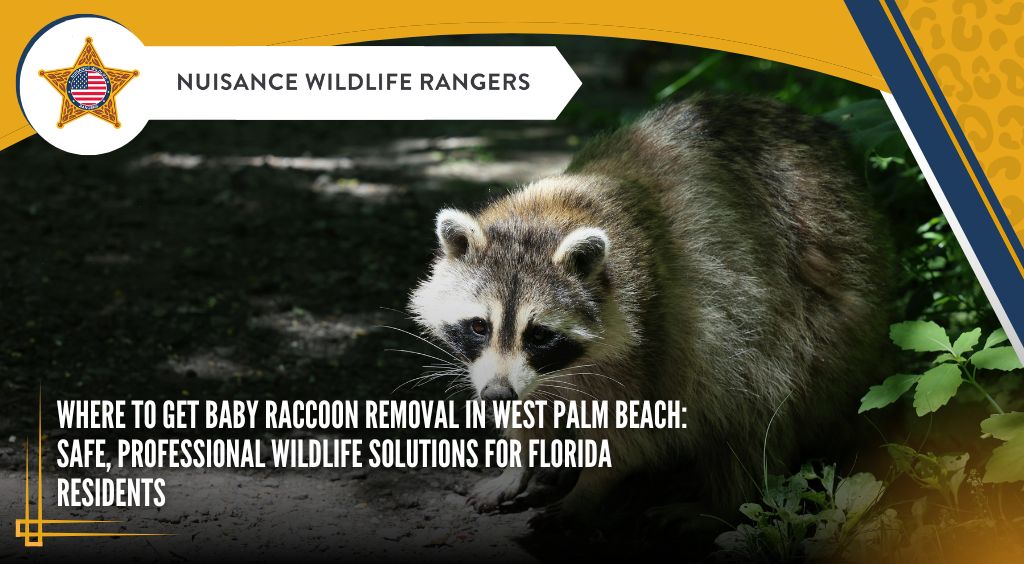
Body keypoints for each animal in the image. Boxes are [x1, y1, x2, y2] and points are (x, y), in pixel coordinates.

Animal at [408, 96, 890, 524]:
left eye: (540, 333)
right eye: (478, 326)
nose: (495, 395)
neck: (550, 213)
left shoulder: (657, 332)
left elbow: (635, 432)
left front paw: (590, 489)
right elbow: (530, 407)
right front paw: (519, 462)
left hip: (818, 314)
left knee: (753, 393)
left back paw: (723, 501)